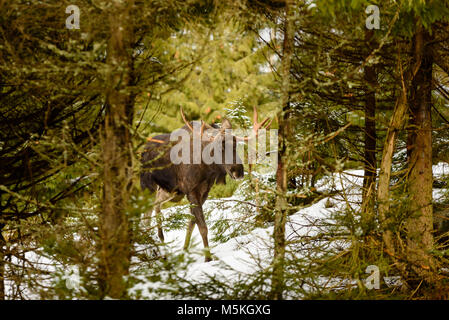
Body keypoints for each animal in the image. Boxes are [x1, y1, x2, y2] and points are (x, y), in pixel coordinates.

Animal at [140, 106, 270, 262]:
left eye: (235, 145)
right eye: (219, 148)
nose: (238, 171)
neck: (206, 168)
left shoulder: (204, 191)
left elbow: (191, 223)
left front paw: (184, 251)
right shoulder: (191, 190)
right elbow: (202, 226)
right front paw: (208, 258)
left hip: (169, 191)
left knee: (155, 207)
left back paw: (160, 244)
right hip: (148, 186)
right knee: (145, 216)